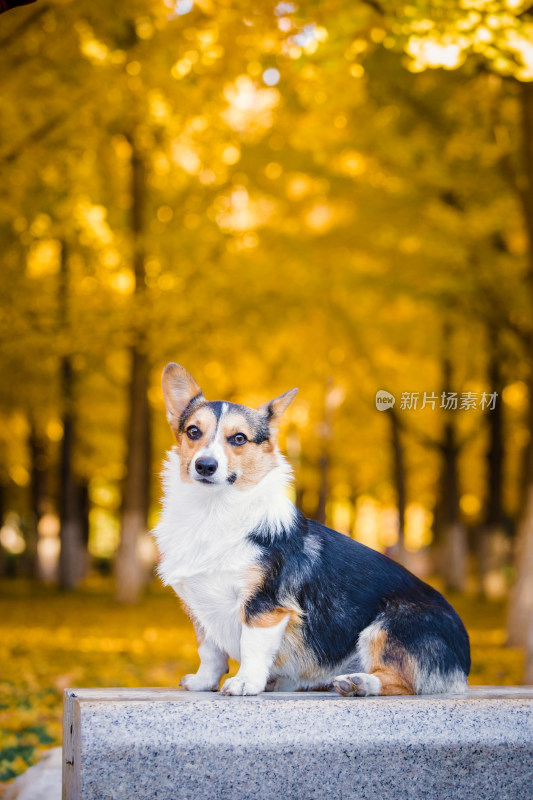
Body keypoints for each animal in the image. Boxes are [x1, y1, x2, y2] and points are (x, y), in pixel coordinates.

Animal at [154, 366, 470, 696]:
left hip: (387, 626)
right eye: (193, 431)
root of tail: (463, 664)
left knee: (403, 682)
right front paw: (203, 682)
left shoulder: (265, 605)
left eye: (239, 438)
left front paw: (245, 681)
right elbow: (210, 651)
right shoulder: (200, 608)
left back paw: (359, 682)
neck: (212, 511)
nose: (205, 465)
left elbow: (252, 646)